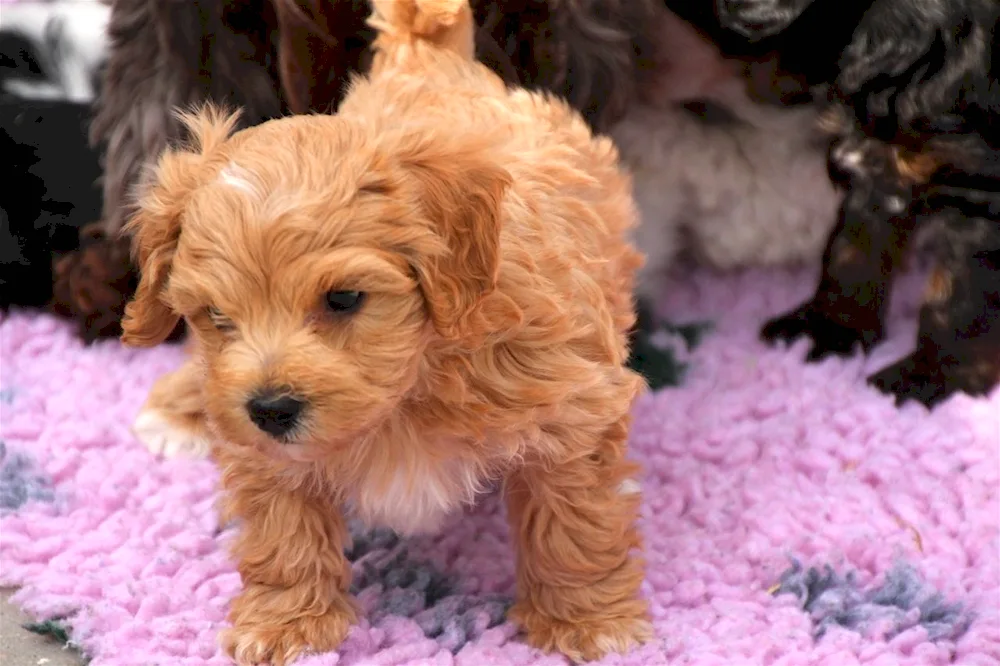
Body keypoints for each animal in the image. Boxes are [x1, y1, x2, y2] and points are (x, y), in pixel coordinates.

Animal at [119, 0, 648, 660]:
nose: (270, 410)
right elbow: (283, 529)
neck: (410, 385)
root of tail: (423, 57)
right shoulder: (266, 448)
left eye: (344, 299)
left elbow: (572, 525)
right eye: (217, 317)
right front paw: (287, 624)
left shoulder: (571, 411)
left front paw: (585, 622)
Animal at [716, 0, 1000, 408]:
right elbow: (852, 248)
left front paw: (929, 378)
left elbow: (956, 296)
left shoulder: (977, 187)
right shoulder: (873, 154)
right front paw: (829, 327)